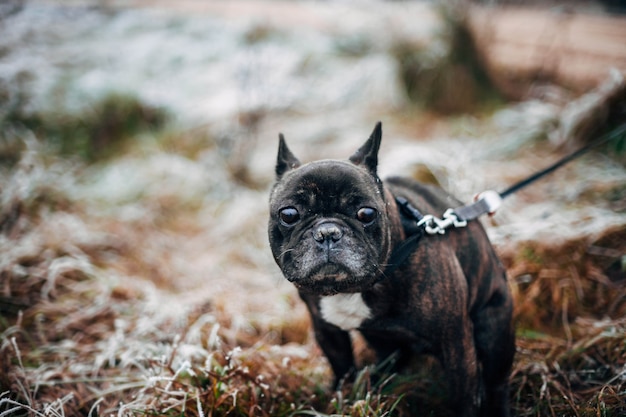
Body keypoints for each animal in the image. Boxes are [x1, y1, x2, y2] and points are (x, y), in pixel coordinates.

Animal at [266, 122, 516, 414]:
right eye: (289, 214)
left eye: (366, 213)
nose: (328, 232)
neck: (351, 290)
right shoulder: (328, 331)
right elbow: (343, 369)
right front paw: (342, 397)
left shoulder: (455, 342)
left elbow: (463, 398)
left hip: (494, 330)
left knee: (497, 382)